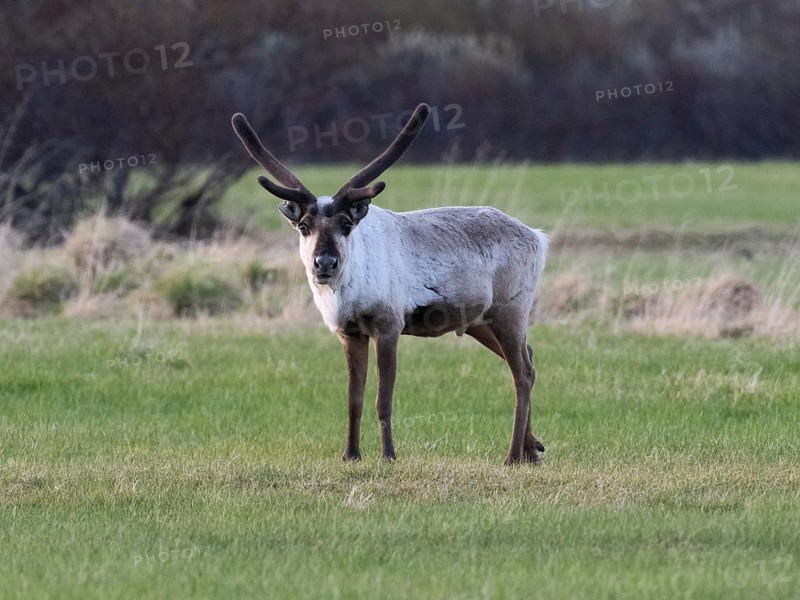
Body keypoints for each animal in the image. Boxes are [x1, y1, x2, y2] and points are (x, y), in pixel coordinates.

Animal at [231, 103, 548, 465]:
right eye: (304, 225)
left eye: (346, 224)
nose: (324, 263)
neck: (349, 295)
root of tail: (538, 237)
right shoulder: (349, 332)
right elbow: (353, 398)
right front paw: (351, 454)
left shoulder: (388, 324)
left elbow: (383, 398)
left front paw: (388, 455)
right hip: (480, 322)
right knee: (528, 359)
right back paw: (533, 450)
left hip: (511, 310)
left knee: (522, 373)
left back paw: (513, 455)